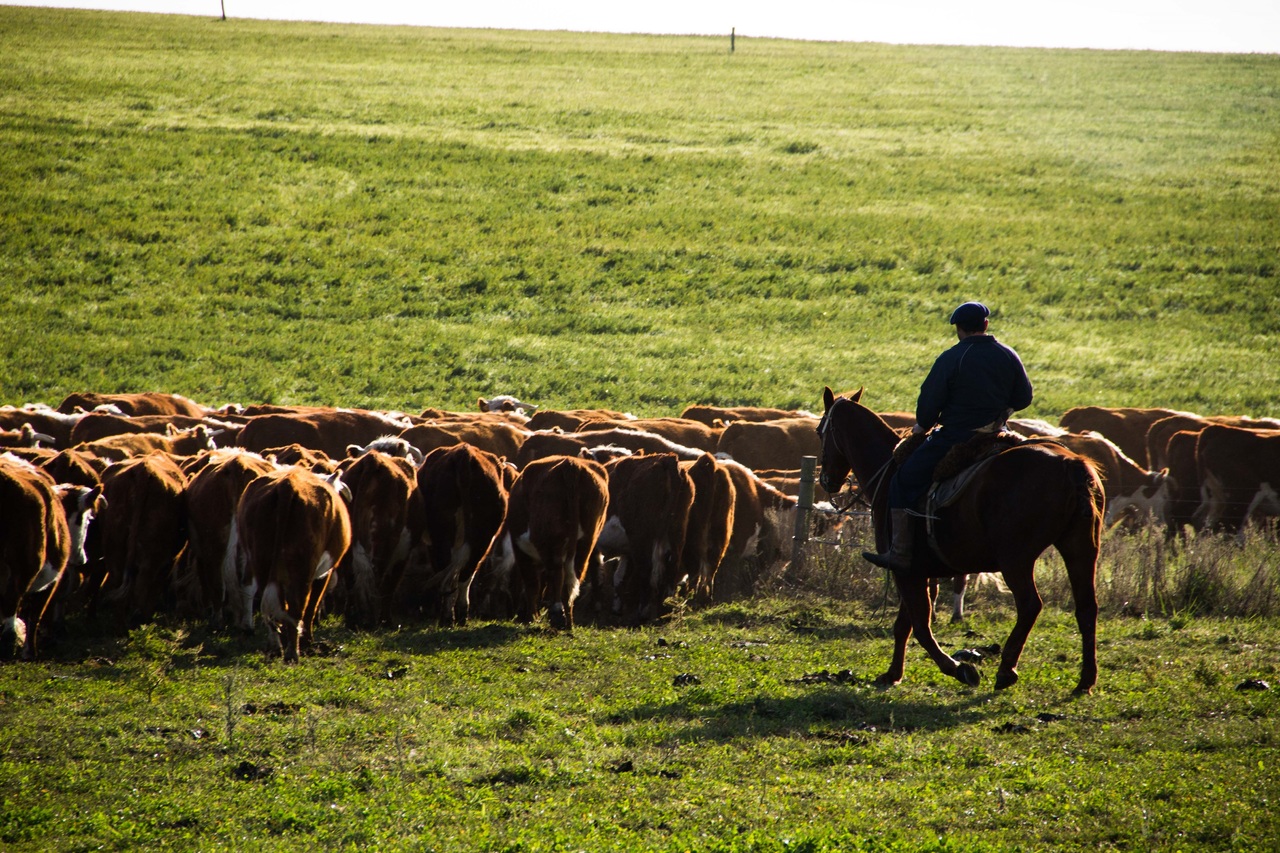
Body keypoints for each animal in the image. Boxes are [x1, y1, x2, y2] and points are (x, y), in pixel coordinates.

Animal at [235, 466, 353, 655]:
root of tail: (288, 484)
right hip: (304, 565)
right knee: (299, 606)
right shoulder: (323, 573)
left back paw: (274, 645)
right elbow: (312, 605)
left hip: (261, 558)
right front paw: (308, 640)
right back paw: (294, 651)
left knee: (267, 600)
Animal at [412, 440, 506, 622]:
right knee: (467, 571)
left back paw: (448, 617)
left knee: (448, 569)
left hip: (442, 531)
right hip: (482, 536)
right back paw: (461, 615)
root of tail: (464, 454)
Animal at [488, 455, 609, 627]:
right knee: (573, 575)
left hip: (553, 541)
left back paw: (557, 615)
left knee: (556, 572)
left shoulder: (521, 552)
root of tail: (570, 464)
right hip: (586, 541)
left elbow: (532, 584)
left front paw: (531, 617)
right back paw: (568, 621)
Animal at [824, 384, 1105, 691]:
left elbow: (920, 625)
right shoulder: (916, 571)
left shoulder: (904, 570)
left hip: (1016, 559)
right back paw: (1085, 680)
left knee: (1030, 605)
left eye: (820, 431)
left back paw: (1007, 670)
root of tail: (1070, 464)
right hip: (1080, 550)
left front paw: (957, 668)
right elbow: (905, 624)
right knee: (1086, 608)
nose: (826, 481)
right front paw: (893, 673)